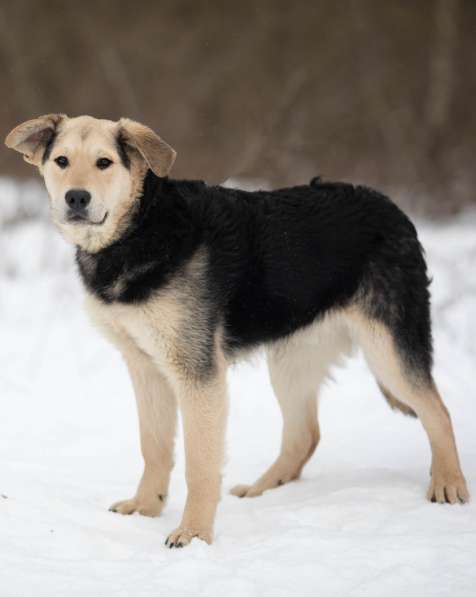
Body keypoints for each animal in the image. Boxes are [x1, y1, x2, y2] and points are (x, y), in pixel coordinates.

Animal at [4, 114, 468, 548]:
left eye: (104, 163)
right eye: (61, 162)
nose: (76, 198)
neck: (140, 230)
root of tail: (394, 208)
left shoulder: (197, 375)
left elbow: (200, 464)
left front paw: (193, 535)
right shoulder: (145, 368)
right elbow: (154, 447)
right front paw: (145, 507)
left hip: (387, 348)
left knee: (438, 411)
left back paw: (448, 484)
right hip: (291, 359)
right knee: (305, 435)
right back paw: (263, 491)